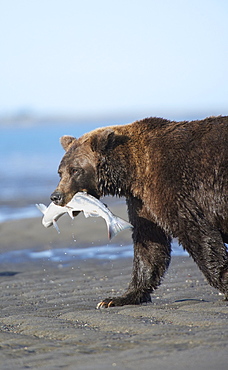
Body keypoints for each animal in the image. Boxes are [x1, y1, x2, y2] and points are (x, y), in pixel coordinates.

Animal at [51, 115, 228, 306]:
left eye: (75, 170)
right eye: (60, 172)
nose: (56, 196)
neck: (132, 172)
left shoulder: (171, 184)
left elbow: (196, 231)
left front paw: (224, 281)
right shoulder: (141, 201)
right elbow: (149, 244)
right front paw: (116, 298)